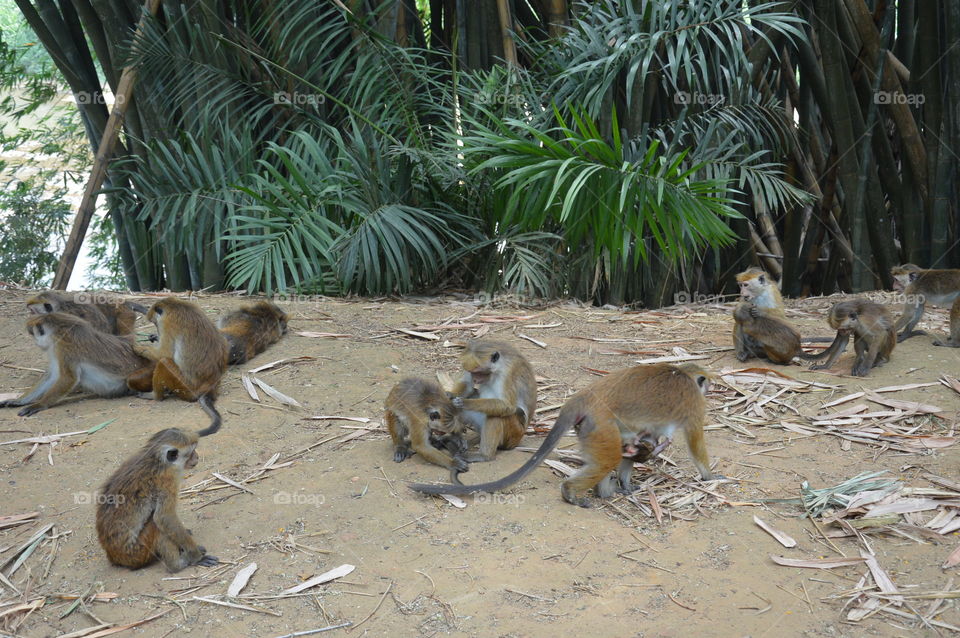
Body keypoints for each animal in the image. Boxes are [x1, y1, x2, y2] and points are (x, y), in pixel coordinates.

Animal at [0, 313, 152, 416]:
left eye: (33, 334)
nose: (36, 343)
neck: (57, 331)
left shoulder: (62, 347)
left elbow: (68, 378)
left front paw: (40, 404)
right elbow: (52, 376)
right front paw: (19, 400)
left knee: (132, 380)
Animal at [96, 428, 218, 572]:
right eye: (191, 452)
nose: (197, 457)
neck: (157, 460)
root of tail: (113, 556)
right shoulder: (168, 479)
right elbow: (164, 517)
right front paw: (196, 557)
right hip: (137, 553)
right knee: (156, 525)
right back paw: (177, 564)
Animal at [125, 297, 229, 436]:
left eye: (156, 323)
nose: (157, 329)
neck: (174, 305)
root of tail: (210, 387)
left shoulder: (167, 322)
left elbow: (163, 354)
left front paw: (139, 348)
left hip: (185, 387)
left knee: (163, 362)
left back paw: (156, 396)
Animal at [411, 363, 719, 508]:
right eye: (704, 384)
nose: (710, 390)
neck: (683, 374)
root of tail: (584, 396)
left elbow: (643, 442)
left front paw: (630, 477)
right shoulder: (694, 404)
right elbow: (695, 439)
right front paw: (710, 476)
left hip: (592, 427)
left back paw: (606, 488)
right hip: (600, 423)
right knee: (608, 457)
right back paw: (572, 491)